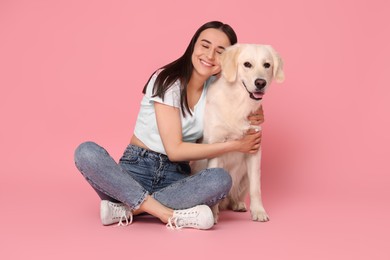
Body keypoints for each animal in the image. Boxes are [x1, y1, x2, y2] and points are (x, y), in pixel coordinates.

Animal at [192, 43, 284, 222]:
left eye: (267, 65)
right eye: (247, 64)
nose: (260, 82)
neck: (239, 102)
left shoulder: (254, 149)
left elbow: (256, 188)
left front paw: (259, 211)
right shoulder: (216, 145)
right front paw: (213, 215)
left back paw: (238, 204)